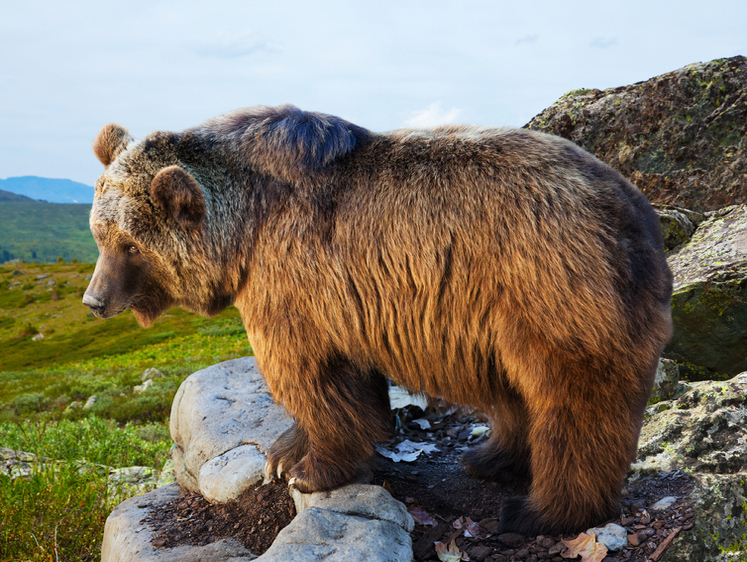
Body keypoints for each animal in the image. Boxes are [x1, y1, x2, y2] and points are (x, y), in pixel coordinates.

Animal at [84, 105, 676, 532]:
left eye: (131, 245)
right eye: (100, 234)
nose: (94, 300)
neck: (245, 227)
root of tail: (639, 215)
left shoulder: (292, 283)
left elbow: (311, 376)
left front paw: (310, 471)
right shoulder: (342, 298)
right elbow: (342, 381)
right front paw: (283, 454)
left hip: (549, 287)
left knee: (572, 402)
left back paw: (539, 512)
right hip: (503, 317)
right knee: (517, 393)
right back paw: (489, 457)